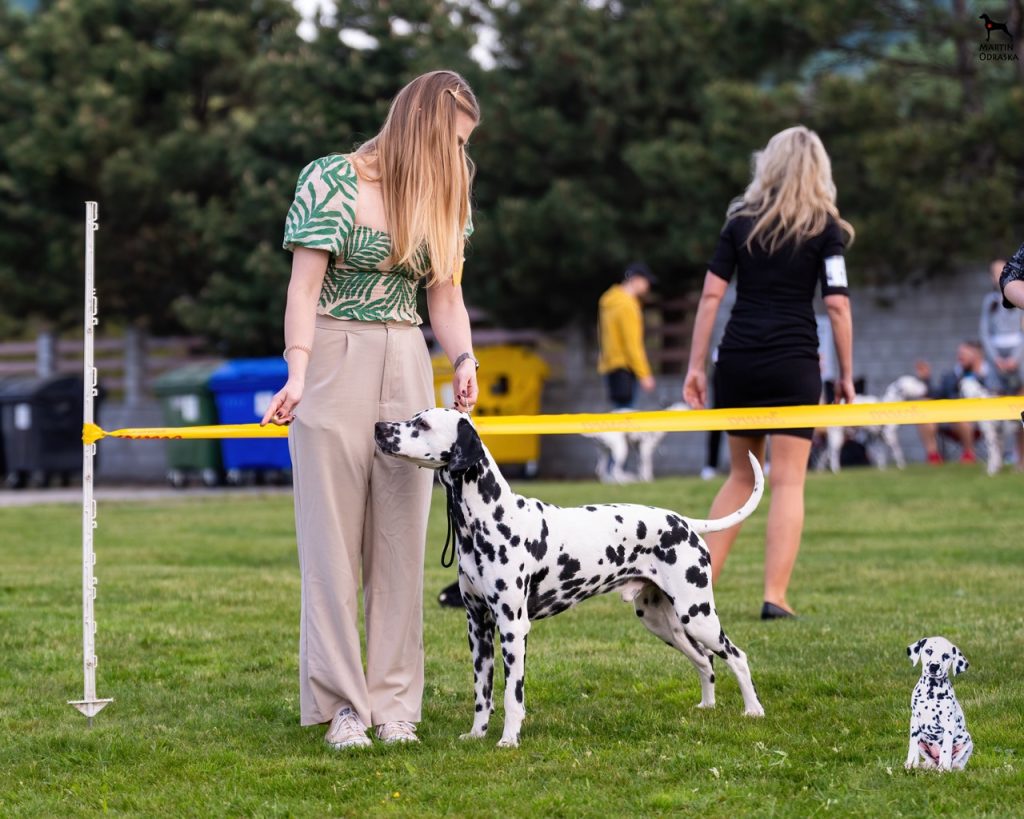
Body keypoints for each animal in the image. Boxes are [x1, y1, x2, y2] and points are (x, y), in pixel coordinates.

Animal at [375, 407, 765, 747]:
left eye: (422, 424)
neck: (489, 518)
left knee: (737, 657)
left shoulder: (513, 627)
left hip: (698, 617)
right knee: (705, 660)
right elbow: (482, 694)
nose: (379, 426)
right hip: (662, 622)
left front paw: (508, 740)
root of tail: (684, 522)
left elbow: (511, 695)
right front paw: (476, 734)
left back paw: (753, 711)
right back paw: (707, 706)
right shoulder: (477, 626)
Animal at [905, 636, 972, 771]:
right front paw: (910, 764)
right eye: (929, 651)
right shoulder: (914, 720)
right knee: (930, 759)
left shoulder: (949, 723)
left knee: (958, 760)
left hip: (967, 740)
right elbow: (912, 744)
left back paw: (953, 767)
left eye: (945, 656)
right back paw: (926, 765)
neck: (931, 692)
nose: (934, 666)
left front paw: (944, 768)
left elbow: (946, 748)